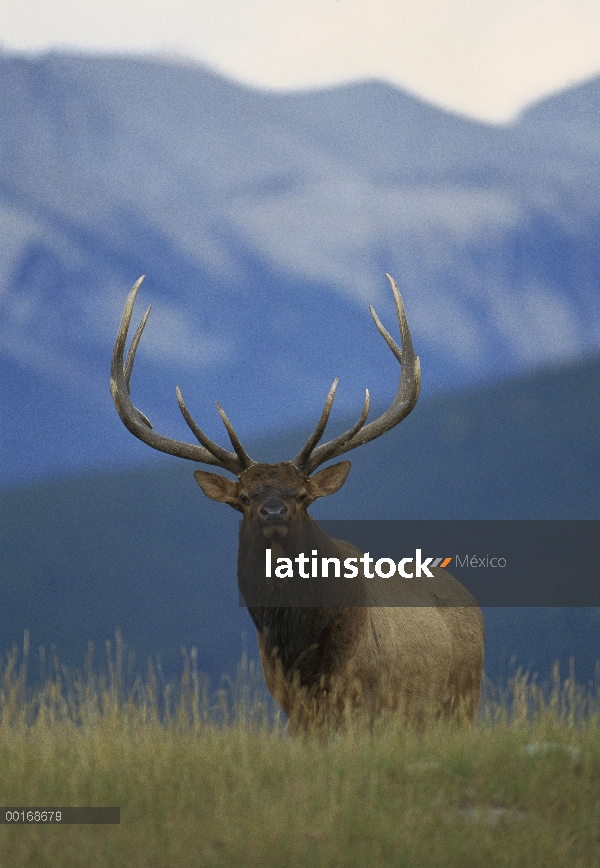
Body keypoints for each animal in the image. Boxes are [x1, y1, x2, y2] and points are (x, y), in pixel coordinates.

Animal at [110, 272, 486, 732]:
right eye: (245, 497)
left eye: (303, 495)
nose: (274, 511)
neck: (302, 658)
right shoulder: (294, 710)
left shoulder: (366, 698)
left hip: (462, 700)